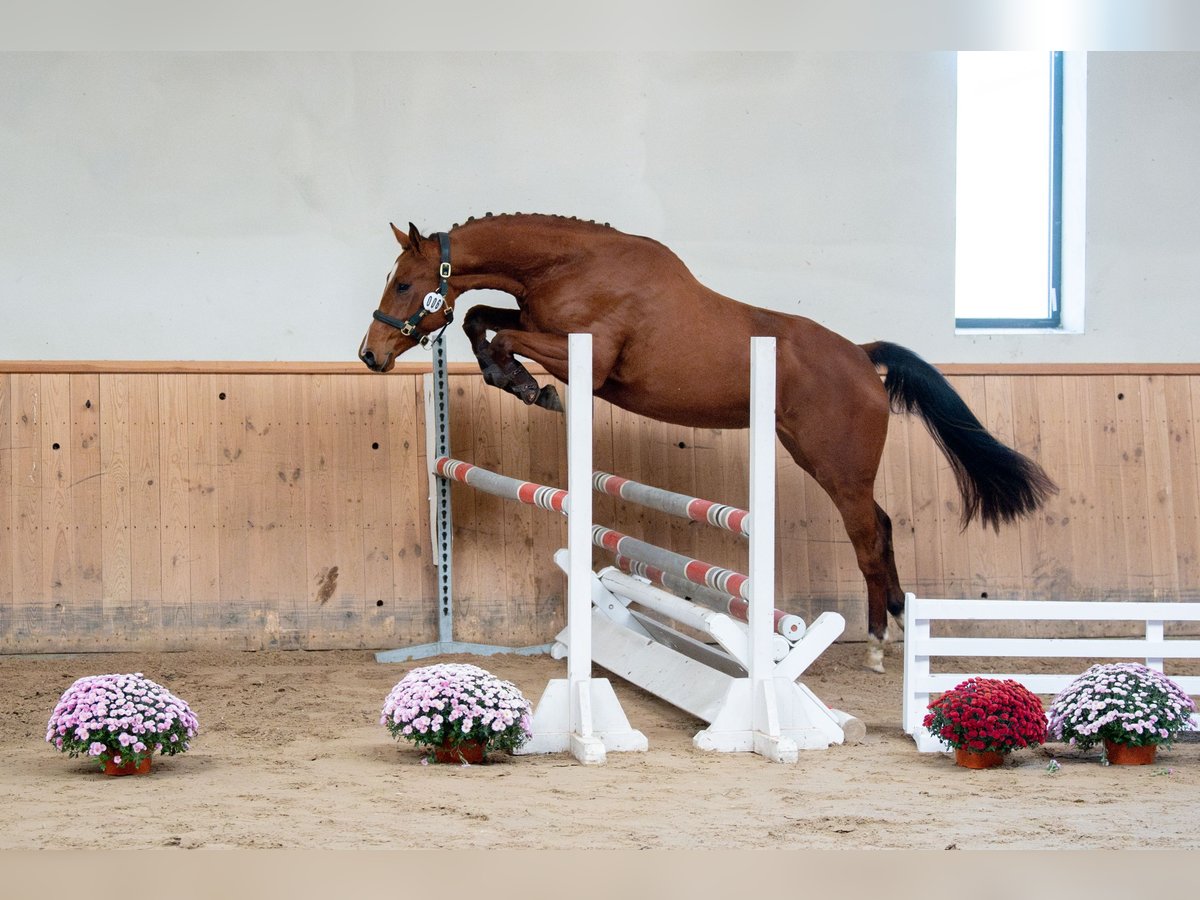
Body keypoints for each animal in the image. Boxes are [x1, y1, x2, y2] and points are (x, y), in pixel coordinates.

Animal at [358, 213, 1057, 672]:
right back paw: (900, 629)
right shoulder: (533, 321)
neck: (571, 264)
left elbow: (500, 334)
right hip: (822, 460)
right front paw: (519, 382)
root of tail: (861, 357)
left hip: (838, 466)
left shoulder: (588, 356)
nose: (371, 355)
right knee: (882, 528)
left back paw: (882, 646)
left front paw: (528, 386)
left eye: (403, 284)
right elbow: (481, 318)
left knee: (867, 537)